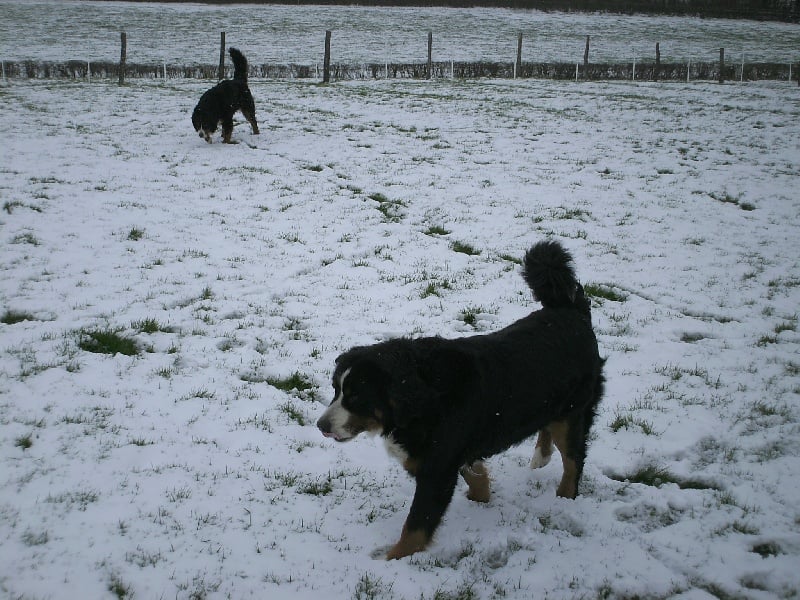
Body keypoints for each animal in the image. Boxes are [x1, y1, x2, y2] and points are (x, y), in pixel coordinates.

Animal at [316, 241, 604, 560]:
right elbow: (475, 477)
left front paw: (391, 560)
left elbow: (415, 526)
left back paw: (564, 498)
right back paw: (541, 457)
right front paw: (481, 497)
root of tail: (571, 310)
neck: (423, 397)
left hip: (574, 411)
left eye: (356, 396)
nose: (321, 425)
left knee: (573, 461)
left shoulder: (437, 468)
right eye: (336, 389)